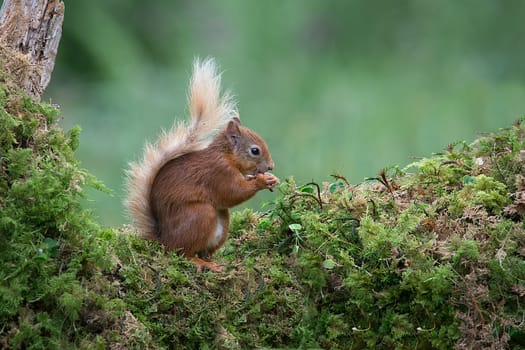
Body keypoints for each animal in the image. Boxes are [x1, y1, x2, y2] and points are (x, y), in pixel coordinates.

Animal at [124, 58, 278, 270]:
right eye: (255, 151)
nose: (271, 166)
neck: (226, 156)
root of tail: (163, 240)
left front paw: (270, 178)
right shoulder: (218, 172)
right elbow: (233, 192)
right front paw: (262, 181)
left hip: (221, 223)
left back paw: (212, 261)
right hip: (200, 215)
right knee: (183, 252)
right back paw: (202, 262)